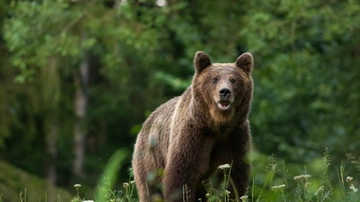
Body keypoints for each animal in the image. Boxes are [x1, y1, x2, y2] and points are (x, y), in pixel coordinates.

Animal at [132, 51, 253, 201]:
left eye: (233, 80)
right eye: (215, 79)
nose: (224, 92)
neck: (216, 125)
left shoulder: (234, 135)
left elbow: (234, 175)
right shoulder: (193, 134)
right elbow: (182, 174)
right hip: (150, 159)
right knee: (150, 190)